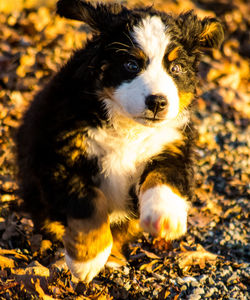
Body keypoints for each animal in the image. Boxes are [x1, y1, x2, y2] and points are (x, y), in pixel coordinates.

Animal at [15, 0, 224, 282]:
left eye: (176, 68)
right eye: (131, 65)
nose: (158, 102)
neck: (127, 128)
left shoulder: (172, 145)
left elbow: (165, 177)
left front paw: (165, 216)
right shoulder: (59, 153)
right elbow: (88, 201)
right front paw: (87, 258)